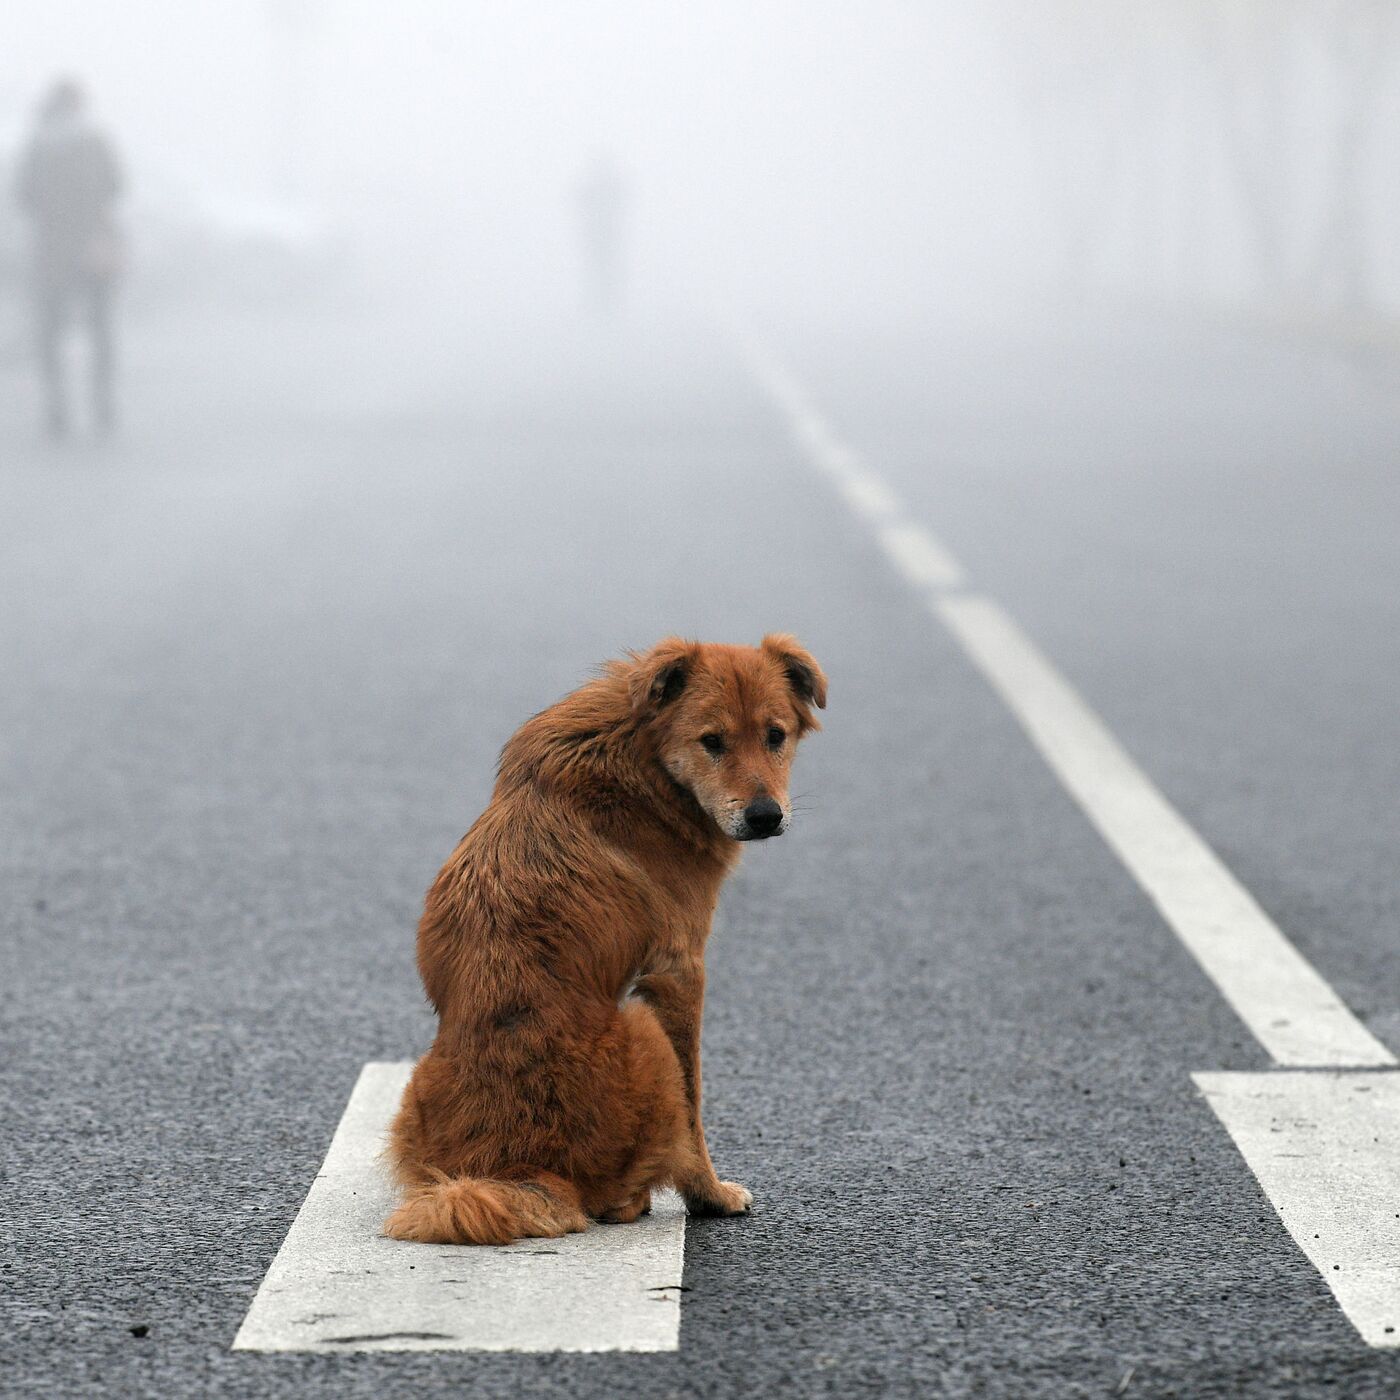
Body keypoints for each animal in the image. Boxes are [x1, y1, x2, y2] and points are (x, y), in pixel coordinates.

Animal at [383, 638, 823, 1248]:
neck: (643, 757)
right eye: (712, 741)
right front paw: (710, 1196)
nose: (765, 816)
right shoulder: (679, 970)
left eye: (775, 735)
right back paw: (636, 1200)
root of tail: (518, 1167)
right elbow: (695, 1107)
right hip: (644, 1030)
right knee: (617, 1190)